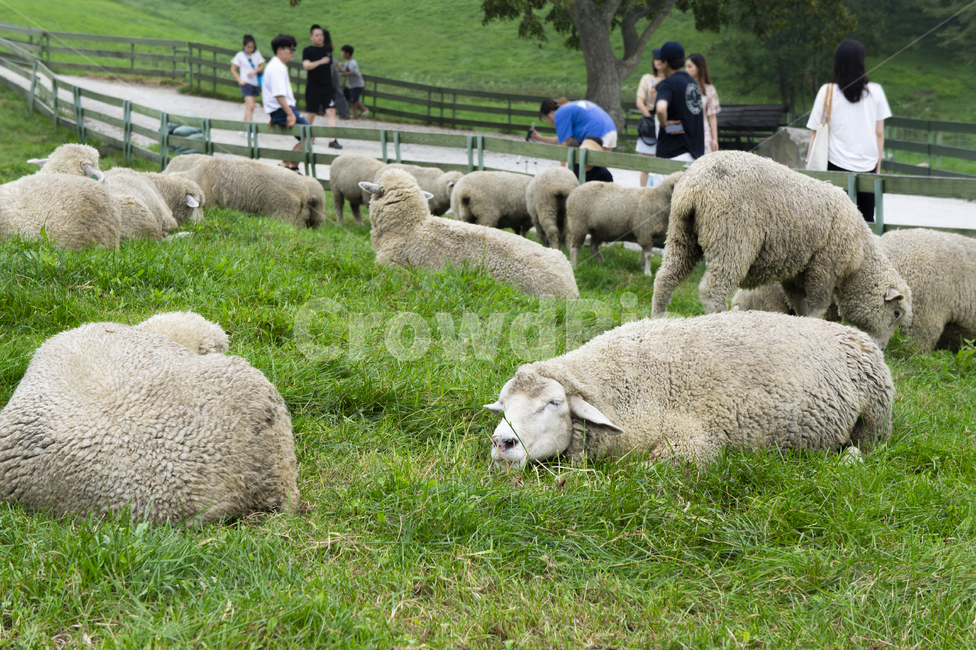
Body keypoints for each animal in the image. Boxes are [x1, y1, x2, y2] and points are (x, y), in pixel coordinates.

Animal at [486, 310, 893, 468]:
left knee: (868, 447)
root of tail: (856, 334)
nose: (502, 443)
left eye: (554, 402)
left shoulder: (692, 443)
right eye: (503, 405)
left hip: (875, 420)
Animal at [650, 152, 911, 348]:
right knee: (712, 290)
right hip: (732, 238)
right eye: (896, 313)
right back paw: (719, 324)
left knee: (665, 278)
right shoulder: (823, 267)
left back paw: (657, 319)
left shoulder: (796, 273)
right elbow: (818, 305)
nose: (881, 349)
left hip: (682, 235)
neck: (859, 261)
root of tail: (693, 186)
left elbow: (800, 305)